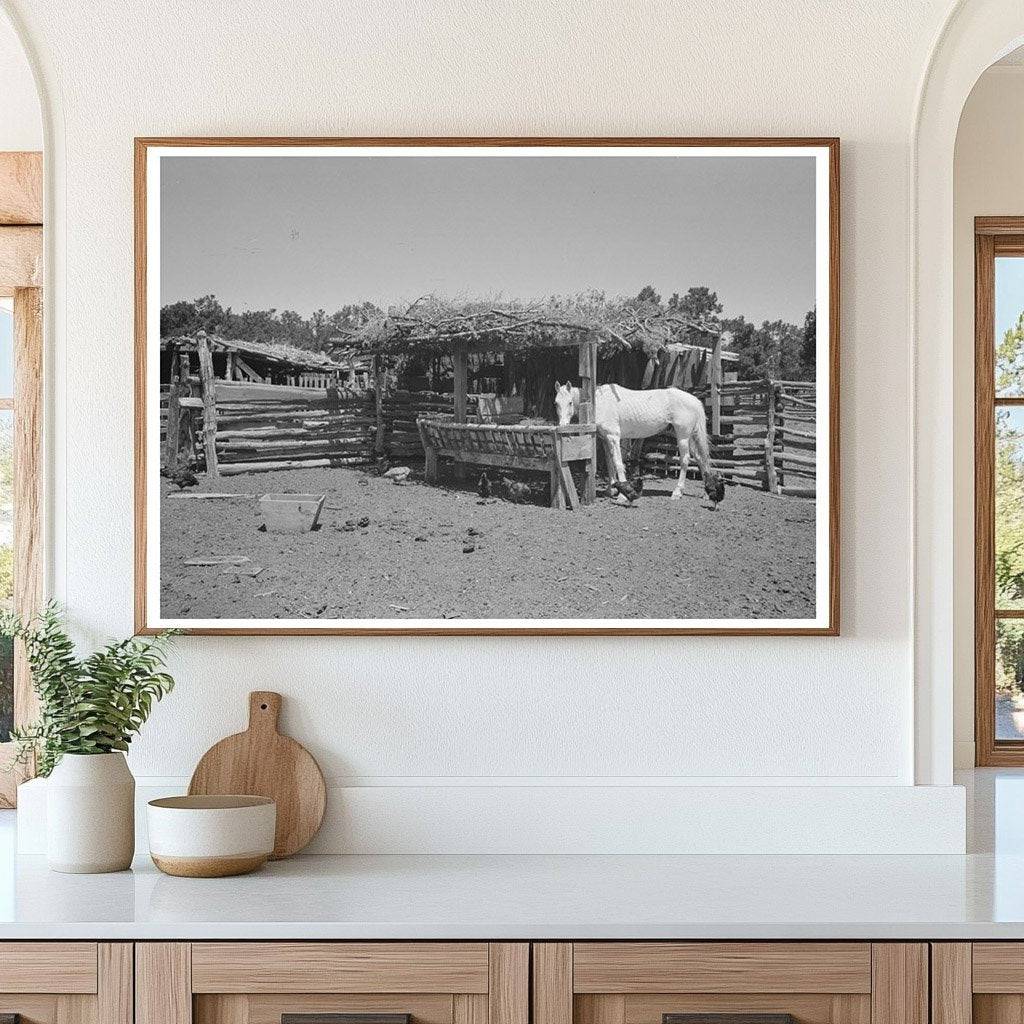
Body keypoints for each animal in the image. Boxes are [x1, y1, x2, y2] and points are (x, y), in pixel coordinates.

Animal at [552, 382, 729, 505]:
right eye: (556, 403)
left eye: (570, 402)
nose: (562, 425)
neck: (600, 401)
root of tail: (695, 400)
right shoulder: (605, 439)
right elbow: (609, 463)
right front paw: (611, 490)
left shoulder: (613, 437)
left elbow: (618, 463)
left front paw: (622, 495)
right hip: (690, 436)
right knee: (700, 458)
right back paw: (706, 493)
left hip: (683, 436)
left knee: (685, 460)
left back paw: (677, 492)